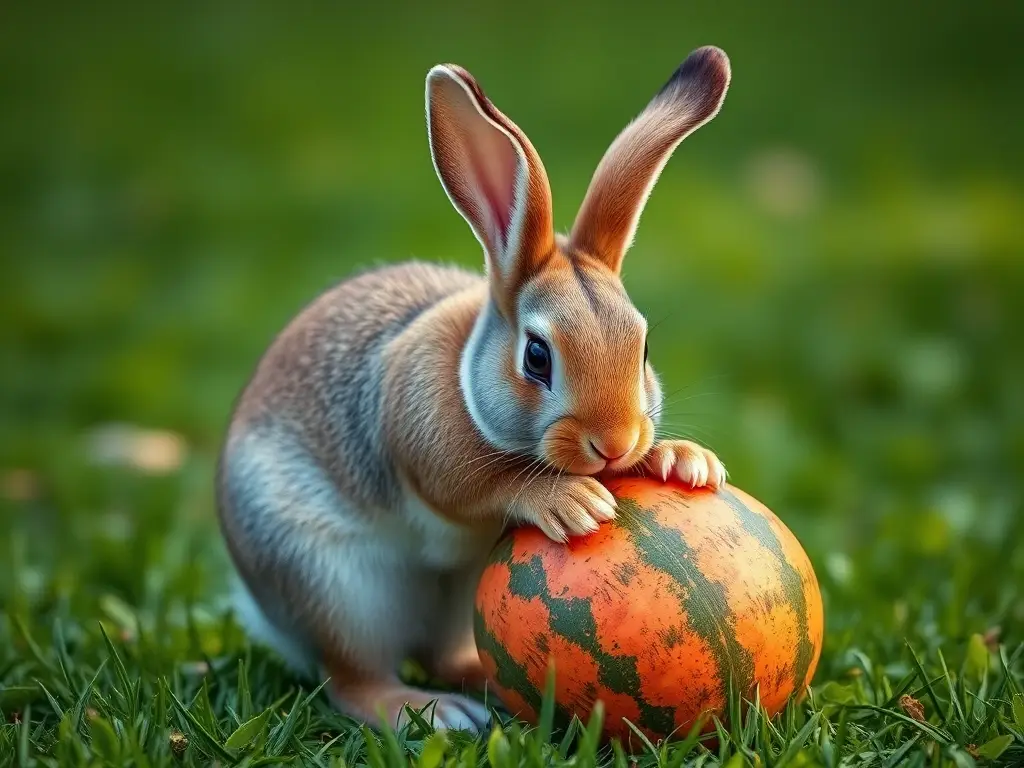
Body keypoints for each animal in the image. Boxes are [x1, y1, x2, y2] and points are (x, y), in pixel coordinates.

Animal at [216, 45, 731, 734]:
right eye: (536, 357)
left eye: (644, 347)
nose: (614, 444)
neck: (469, 374)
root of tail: (268, 612)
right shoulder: (427, 439)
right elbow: (476, 484)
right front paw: (569, 503)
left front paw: (683, 461)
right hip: (335, 584)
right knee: (352, 679)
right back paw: (435, 714)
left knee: (441, 655)